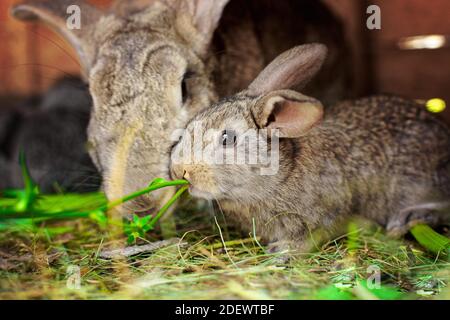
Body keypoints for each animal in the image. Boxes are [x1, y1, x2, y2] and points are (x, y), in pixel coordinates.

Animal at [171, 43, 450, 252]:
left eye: (228, 139)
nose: (179, 170)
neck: (280, 175)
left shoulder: (329, 213)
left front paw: (282, 251)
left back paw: (408, 219)